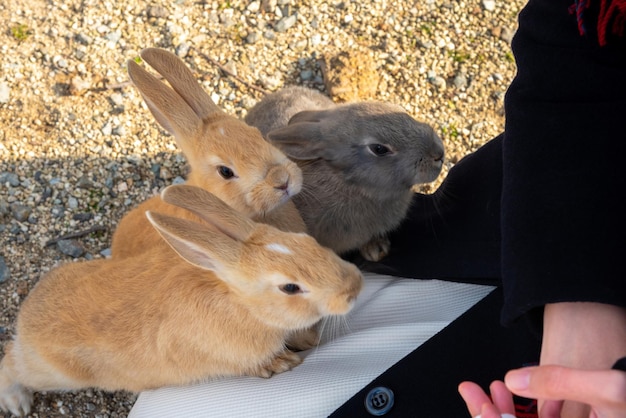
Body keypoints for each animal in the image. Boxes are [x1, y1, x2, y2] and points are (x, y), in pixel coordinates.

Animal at [0, 185, 360, 416]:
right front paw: (284, 363)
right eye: (290, 287)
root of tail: (27, 313)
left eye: (307, 241)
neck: (241, 303)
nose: (355, 286)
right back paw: (17, 403)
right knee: (10, 363)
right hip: (51, 373)